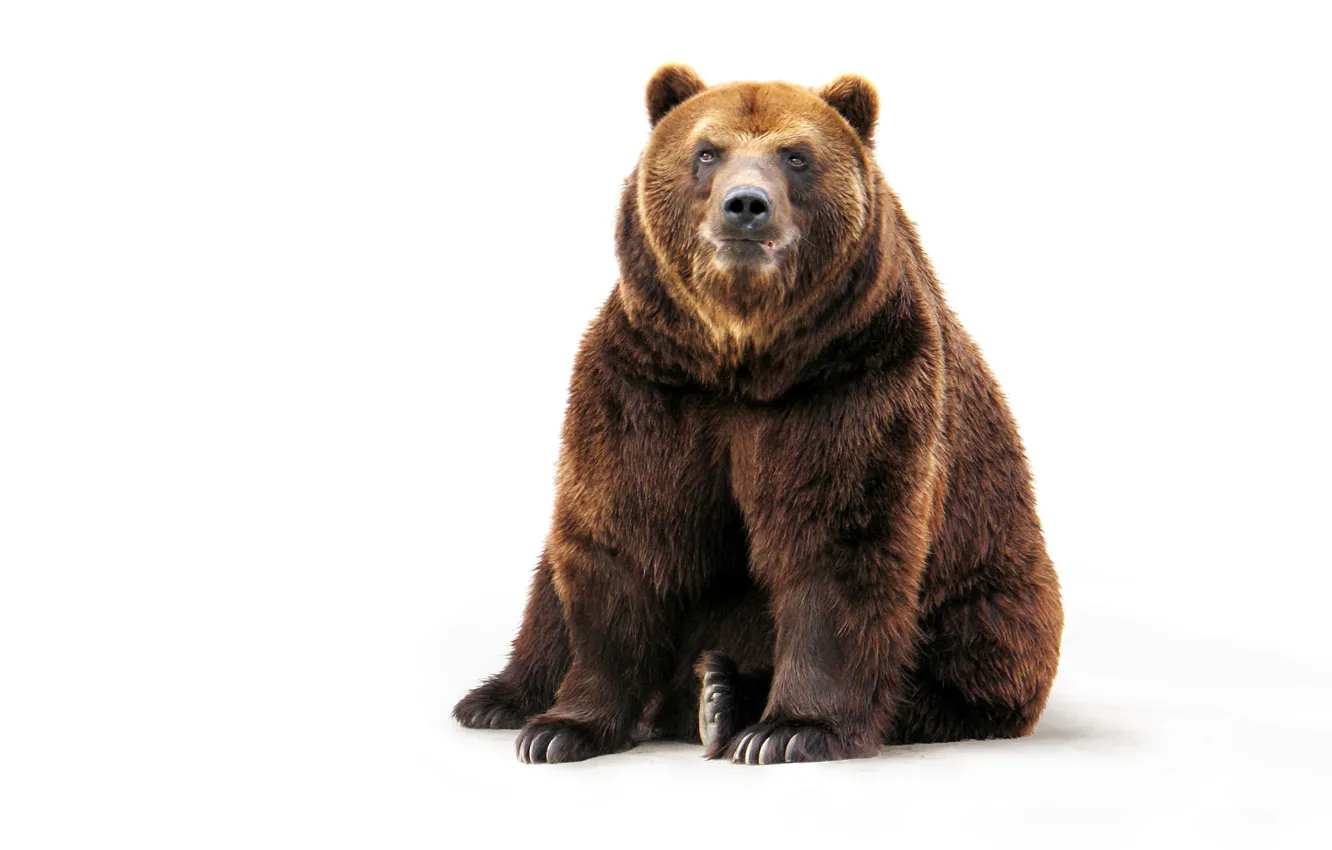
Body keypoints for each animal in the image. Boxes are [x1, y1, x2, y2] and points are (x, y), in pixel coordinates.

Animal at [453, 65, 1063, 765]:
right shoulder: (649, 383)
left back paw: (724, 695)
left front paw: (791, 729)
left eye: (796, 156)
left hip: (993, 583)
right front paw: (562, 728)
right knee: (549, 585)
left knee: (969, 653)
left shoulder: (852, 381)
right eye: (706, 151)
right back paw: (501, 698)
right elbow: (625, 532)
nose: (746, 204)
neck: (743, 358)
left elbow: (837, 542)